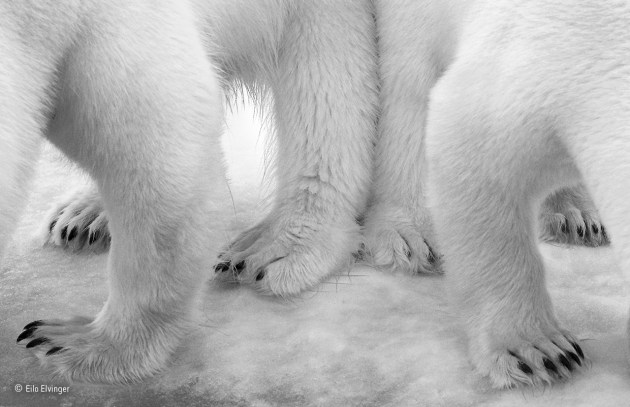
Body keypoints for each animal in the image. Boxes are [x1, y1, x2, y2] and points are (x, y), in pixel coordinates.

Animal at [7, 0, 378, 382]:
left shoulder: (99, 26)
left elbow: (164, 148)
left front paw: (81, 342)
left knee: (324, 70)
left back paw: (272, 247)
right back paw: (84, 216)